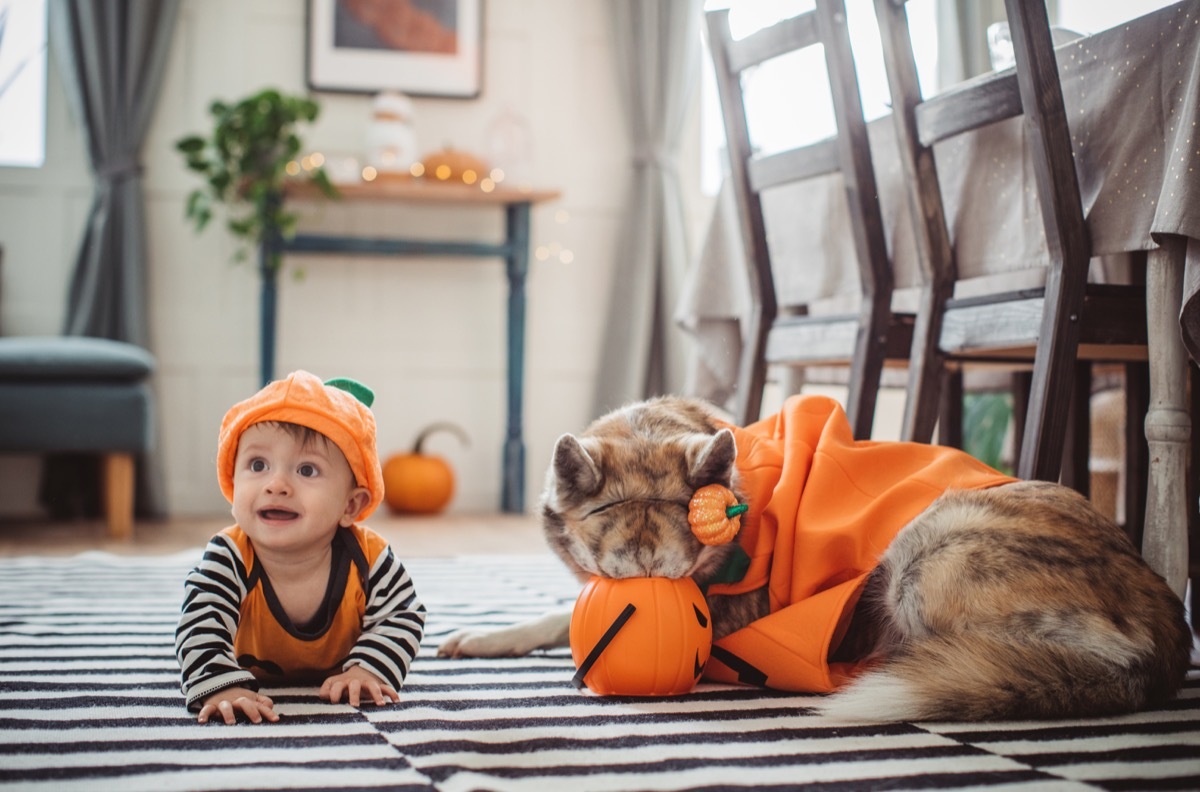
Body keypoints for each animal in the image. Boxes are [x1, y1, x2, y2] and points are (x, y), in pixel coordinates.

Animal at [444, 393, 1190, 720]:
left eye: (681, 573)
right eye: (606, 531)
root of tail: (1166, 631)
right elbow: (553, 613)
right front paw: (485, 637)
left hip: (927, 553)